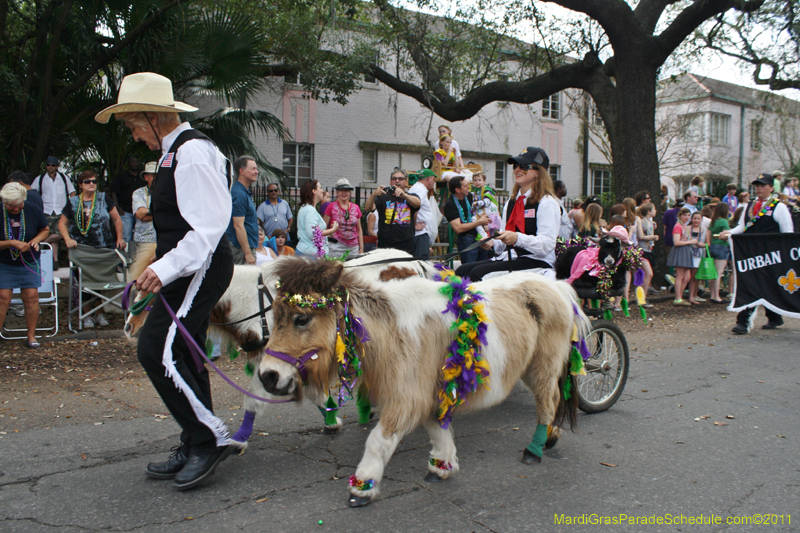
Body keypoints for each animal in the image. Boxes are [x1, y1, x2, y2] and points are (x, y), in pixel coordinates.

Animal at [260, 256, 588, 504]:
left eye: (302, 319)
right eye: (275, 316)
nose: (268, 376)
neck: (392, 330)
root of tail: (557, 286)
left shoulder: (406, 400)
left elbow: (378, 441)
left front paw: (362, 486)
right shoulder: (432, 394)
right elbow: (438, 430)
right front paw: (442, 466)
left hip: (543, 366)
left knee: (548, 401)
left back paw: (534, 450)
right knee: (555, 399)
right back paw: (551, 437)